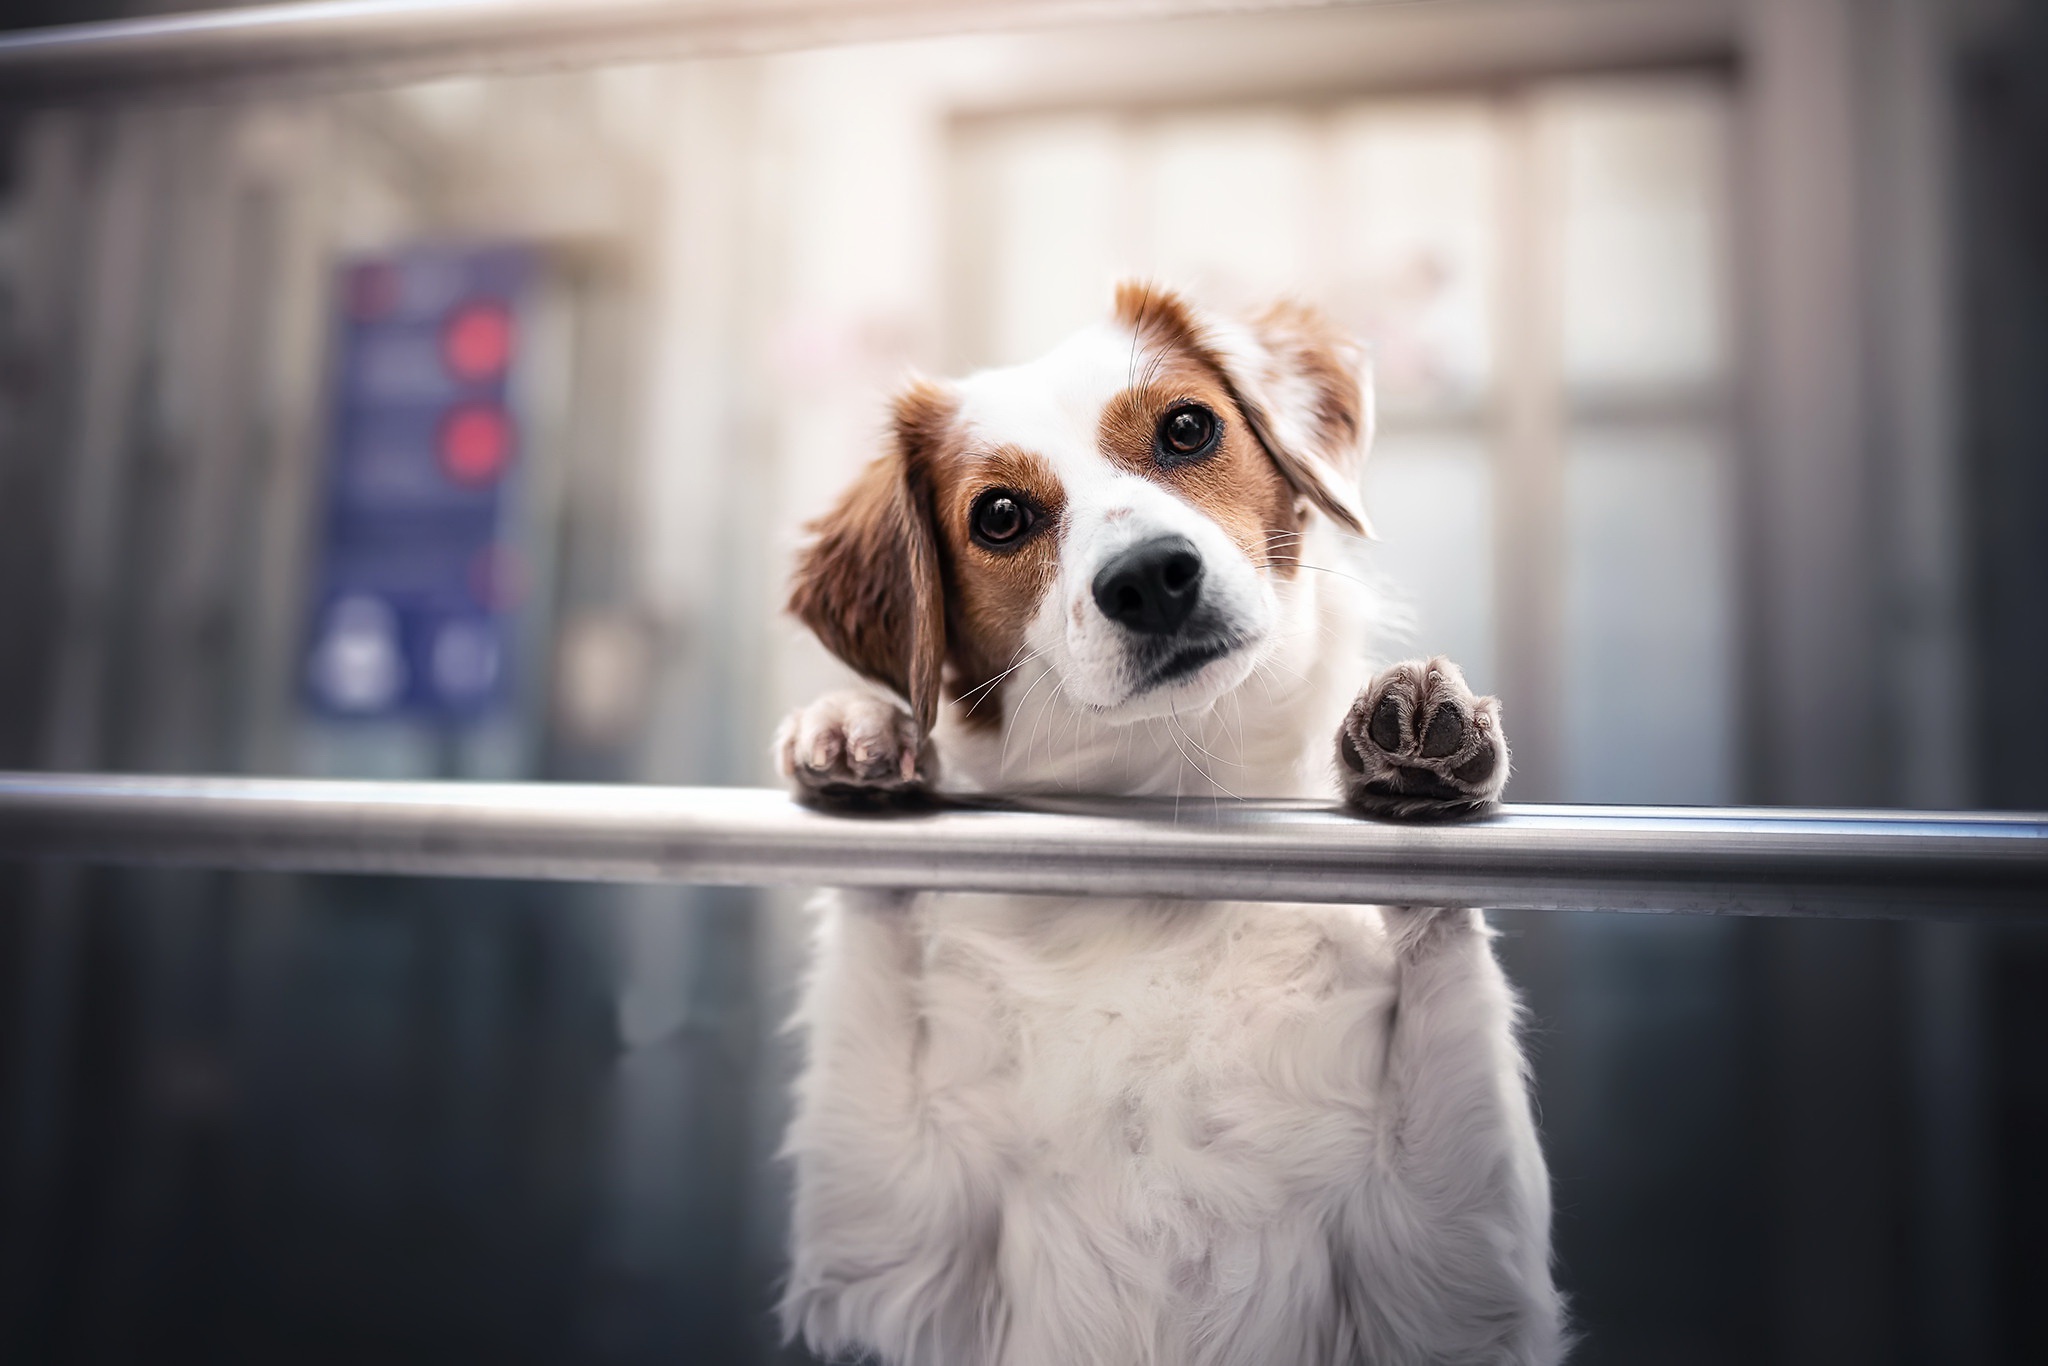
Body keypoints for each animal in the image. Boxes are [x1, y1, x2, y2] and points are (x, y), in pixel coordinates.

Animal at [774, 286, 1556, 1366]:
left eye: (1187, 428)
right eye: (1000, 515)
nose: (1149, 576)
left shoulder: (1444, 1278)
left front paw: (1416, 747)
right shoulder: (892, 1270)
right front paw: (861, 724)